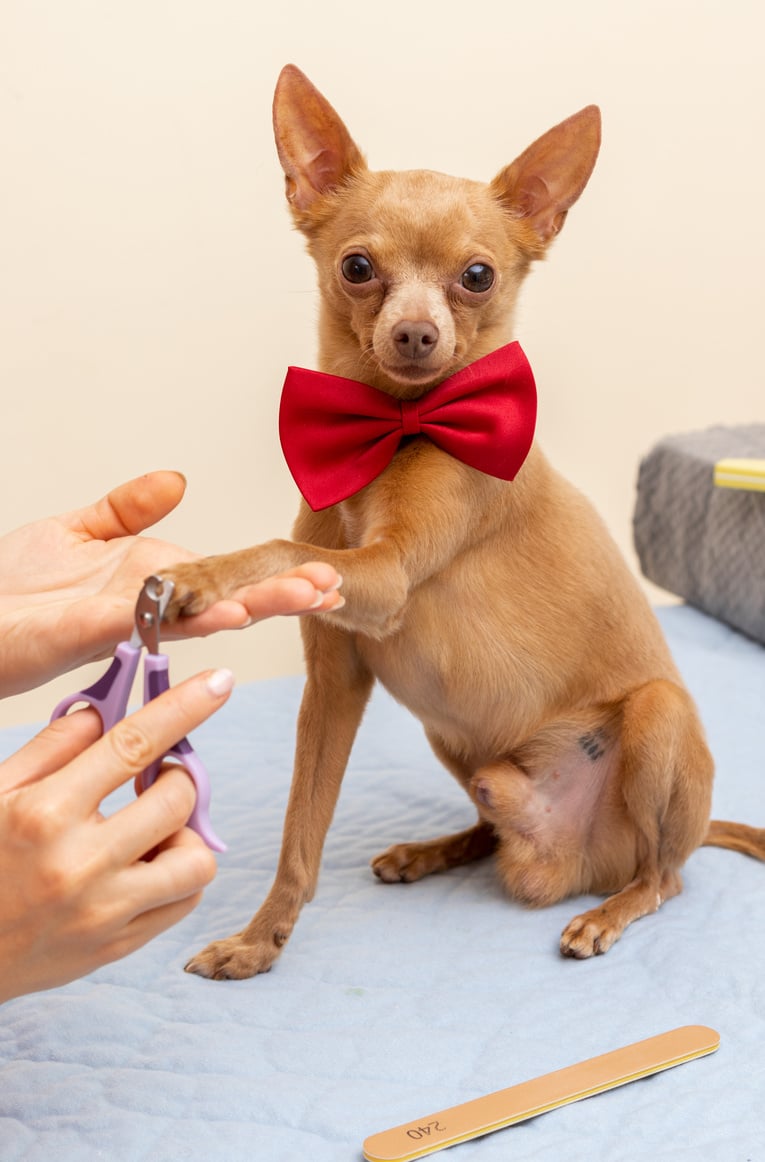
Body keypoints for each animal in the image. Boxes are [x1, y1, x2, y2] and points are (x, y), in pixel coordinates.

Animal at [162, 65, 762, 980]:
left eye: (477, 276)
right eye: (357, 266)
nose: (415, 333)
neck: (392, 433)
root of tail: (568, 860)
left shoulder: (383, 579)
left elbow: (274, 549)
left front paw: (198, 574)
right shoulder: (333, 682)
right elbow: (301, 835)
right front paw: (261, 940)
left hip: (657, 719)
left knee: (666, 878)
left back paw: (609, 912)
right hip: (457, 738)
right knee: (491, 827)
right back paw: (433, 850)